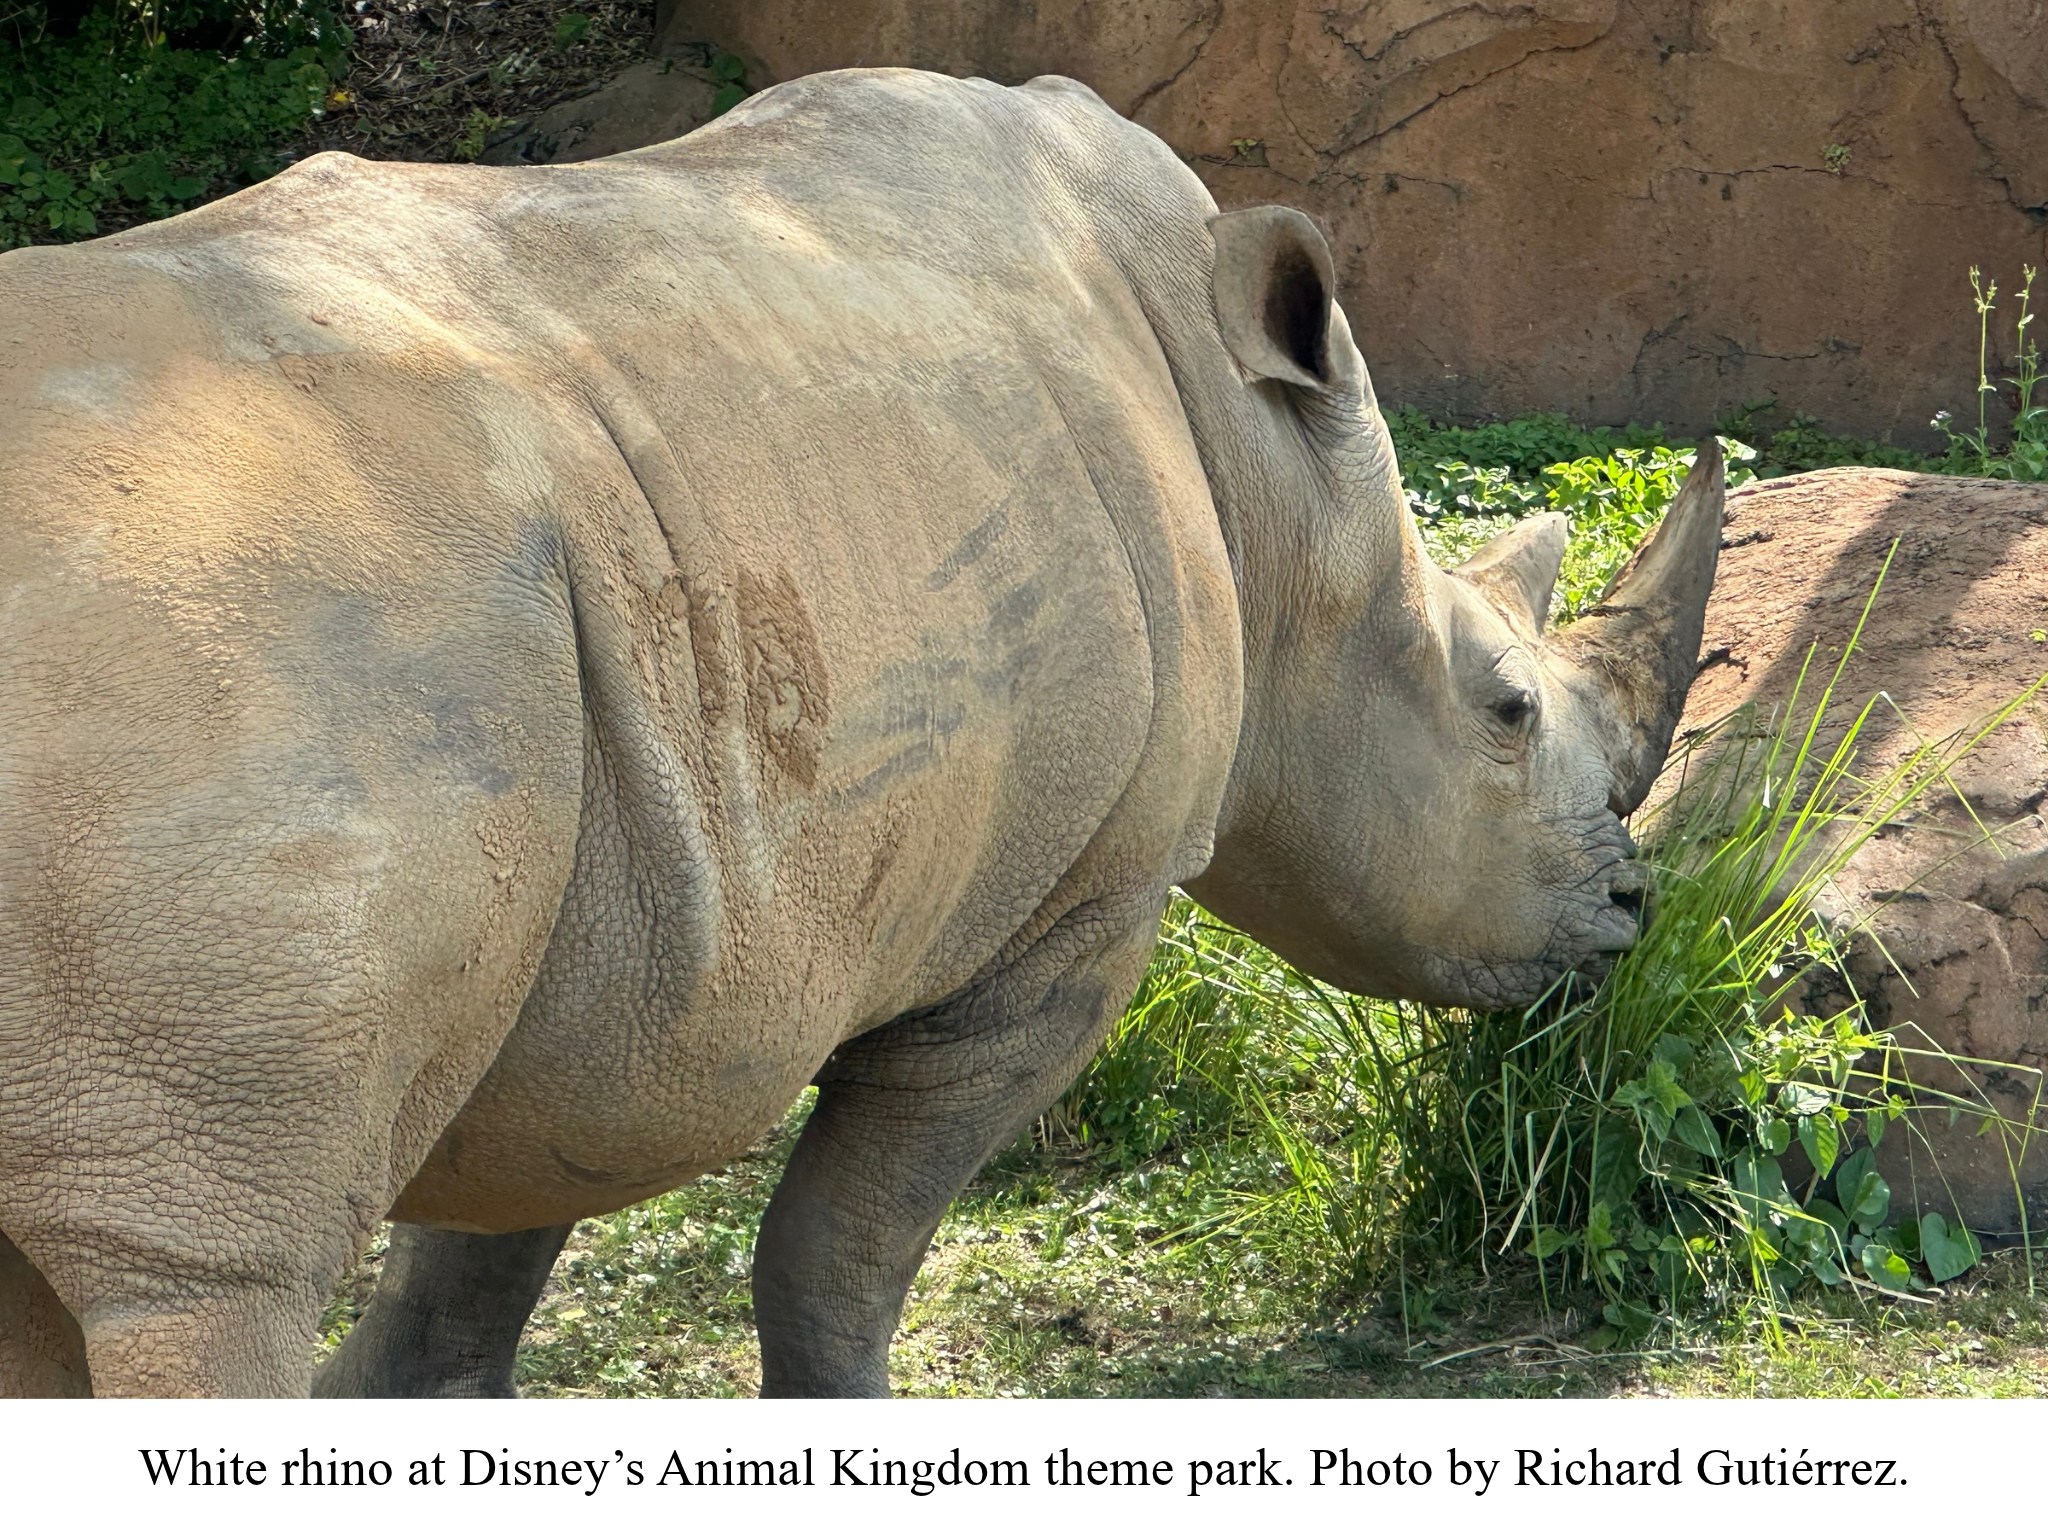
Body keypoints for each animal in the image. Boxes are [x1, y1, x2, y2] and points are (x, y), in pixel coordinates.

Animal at [0, 68, 1721, 1398]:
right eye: (1506, 711)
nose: (1632, 909)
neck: (1280, 494)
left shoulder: (602, 970)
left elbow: (466, 1288)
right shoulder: (1072, 913)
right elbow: (835, 1264)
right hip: (236, 664)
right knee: (209, 1282)